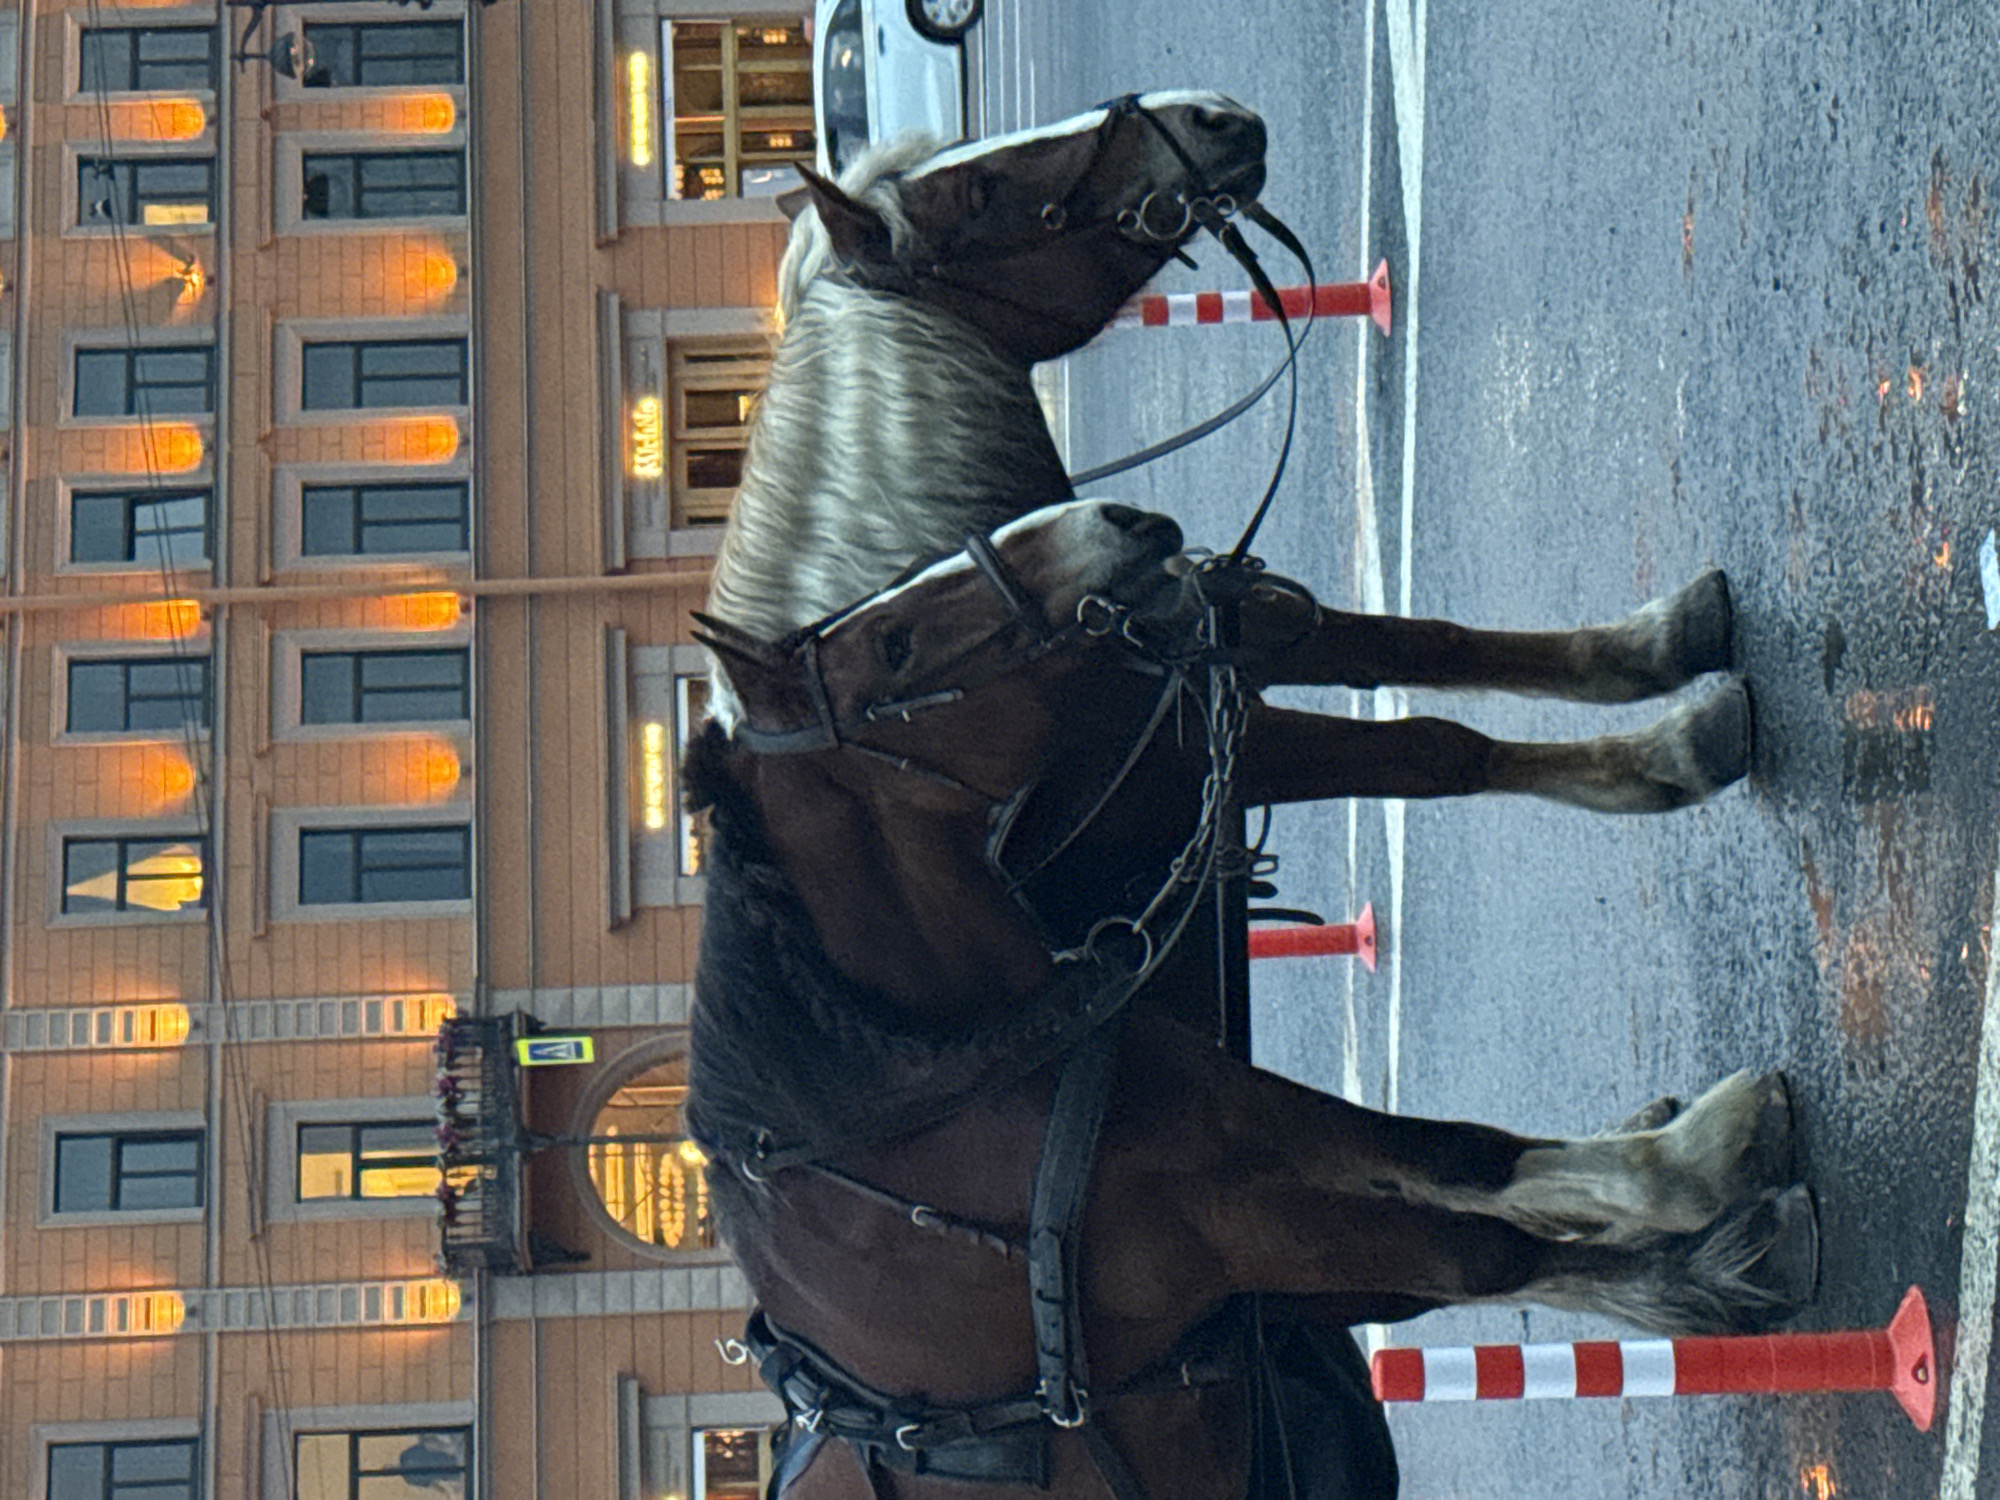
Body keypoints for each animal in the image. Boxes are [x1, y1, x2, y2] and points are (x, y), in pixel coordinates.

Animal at [682, 500, 1816, 1500]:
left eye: (888, 617)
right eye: (896, 646)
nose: (1119, 521)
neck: (913, 1104)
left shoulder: (1229, 1117)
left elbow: (1457, 1158)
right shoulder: (1225, 1215)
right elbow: (1478, 1234)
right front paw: (1702, 1158)